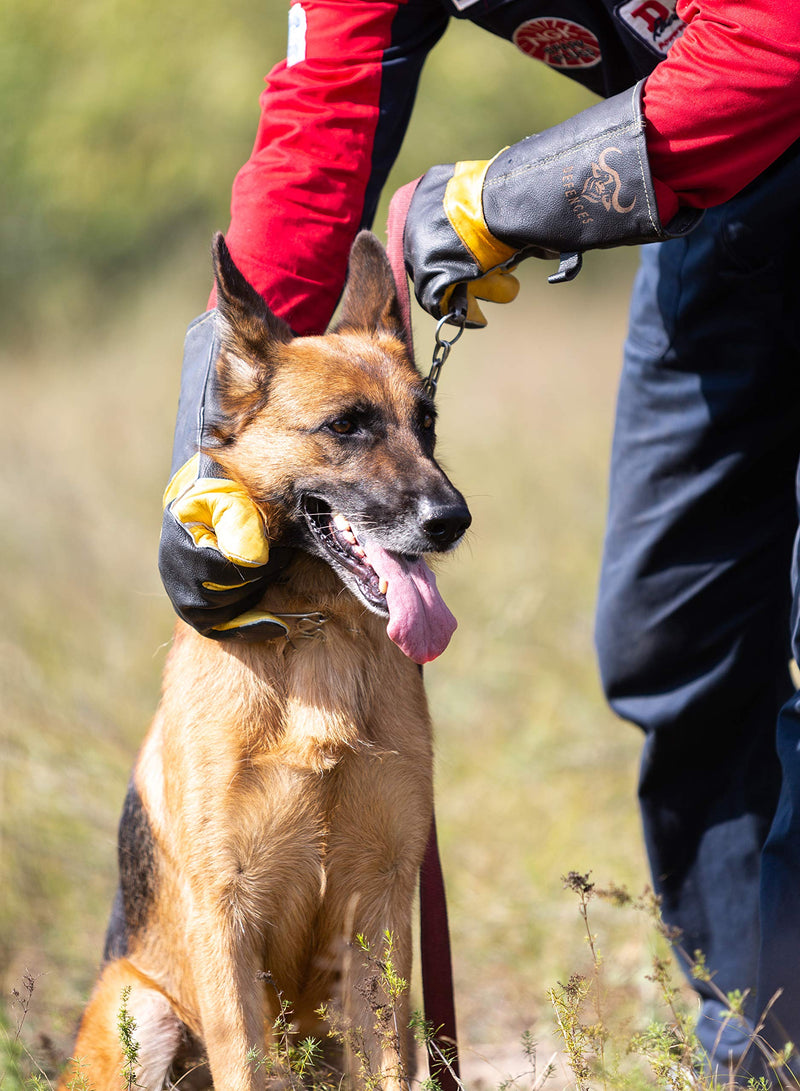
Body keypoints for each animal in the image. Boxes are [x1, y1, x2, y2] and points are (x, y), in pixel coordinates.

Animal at [67, 232, 473, 1091]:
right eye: (347, 425)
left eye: (425, 422)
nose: (451, 520)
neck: (313, 632)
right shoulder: (226, 917)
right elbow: (245, 1062)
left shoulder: (381, 907)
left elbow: (393, 1061)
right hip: (143, 1008)